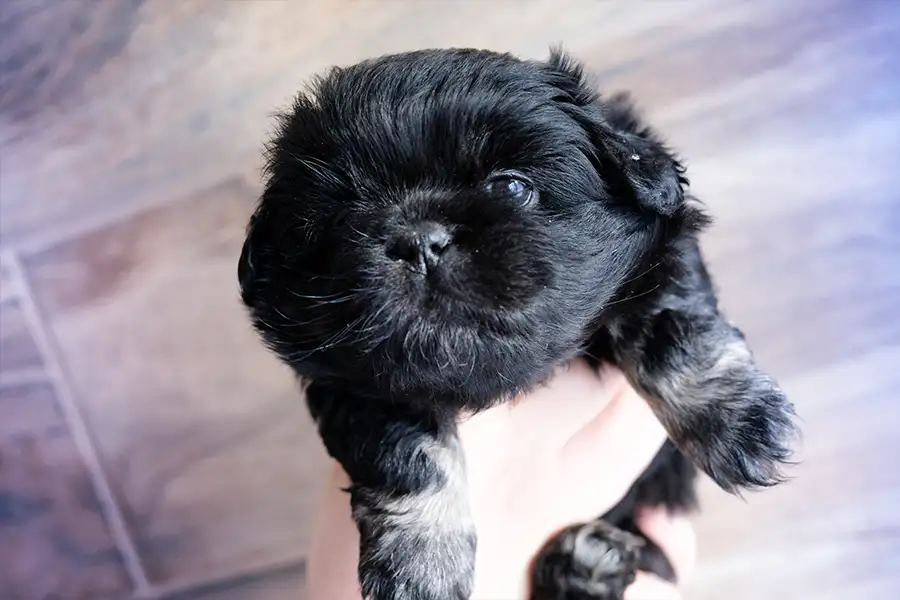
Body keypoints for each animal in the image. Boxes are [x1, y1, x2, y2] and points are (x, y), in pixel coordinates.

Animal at [236, 48, 800, 600]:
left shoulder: (663, 249)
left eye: (511, 187)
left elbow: (671, 331)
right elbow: (404, 450)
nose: (419, 241)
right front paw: (422, 560)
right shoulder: (353, 379)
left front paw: (737, 423)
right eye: (339, 222)